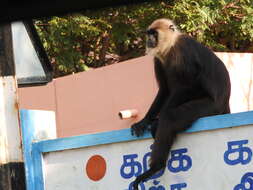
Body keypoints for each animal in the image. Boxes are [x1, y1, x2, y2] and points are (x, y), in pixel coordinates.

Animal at [130, 18, 231, 189]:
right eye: (148, 34)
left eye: (154, 34)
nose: (149, 40)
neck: (170, 46)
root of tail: (225, 103)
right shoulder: (158, 60)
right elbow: (164, 90)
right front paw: (144, 121)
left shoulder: (183, 51)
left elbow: (192, 85)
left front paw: (156, 121)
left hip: (210, 106)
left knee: (170, 117)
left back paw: (156, 166)